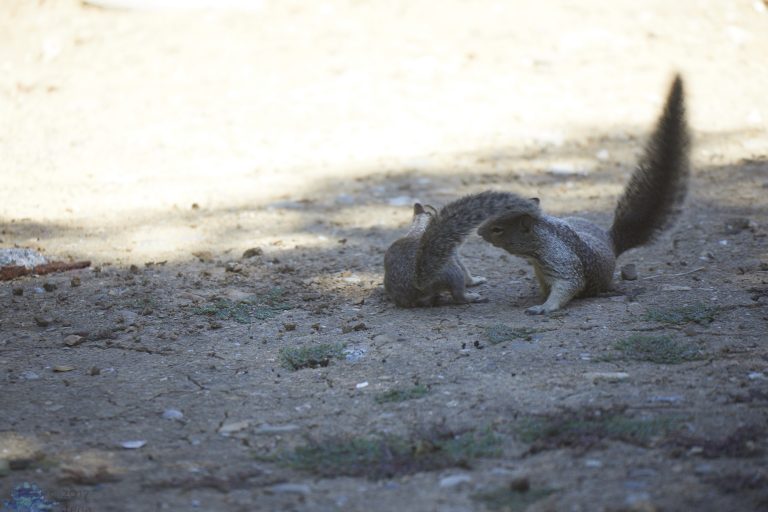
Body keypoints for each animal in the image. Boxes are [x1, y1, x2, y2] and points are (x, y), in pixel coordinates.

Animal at [384, 191, 541, 307]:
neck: (419, 228)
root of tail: (417, 285)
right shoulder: (454, 254)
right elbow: (465, 271)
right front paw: (475, 280)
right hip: (452, 272)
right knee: (458, 296)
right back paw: (472, 297)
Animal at [478, 75, 690, 314]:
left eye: (497, 229)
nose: (479, 232)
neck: (542, 235)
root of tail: (611, 243)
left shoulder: (561, 259)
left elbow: (569, 284)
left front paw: (543, 307)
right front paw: (539, 297)